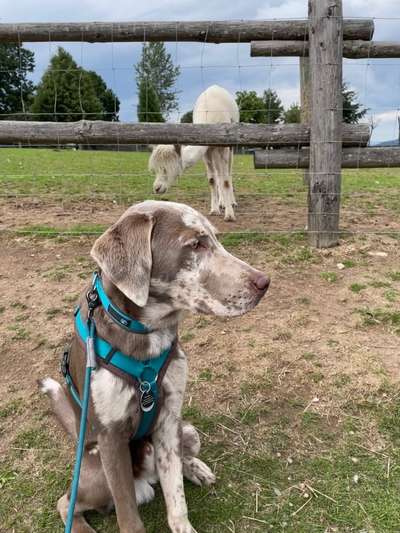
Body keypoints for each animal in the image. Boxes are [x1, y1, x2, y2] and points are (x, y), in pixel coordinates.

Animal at [39, 201, 268, 532]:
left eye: (216, 239)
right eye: (195, 244)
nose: (265, 283)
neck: (147, 334)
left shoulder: (169, 419)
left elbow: (176, 497)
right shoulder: (111, 439)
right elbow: (129, 518)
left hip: (189, 431)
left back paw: (195, 468)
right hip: (95, 473)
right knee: (65, 502)